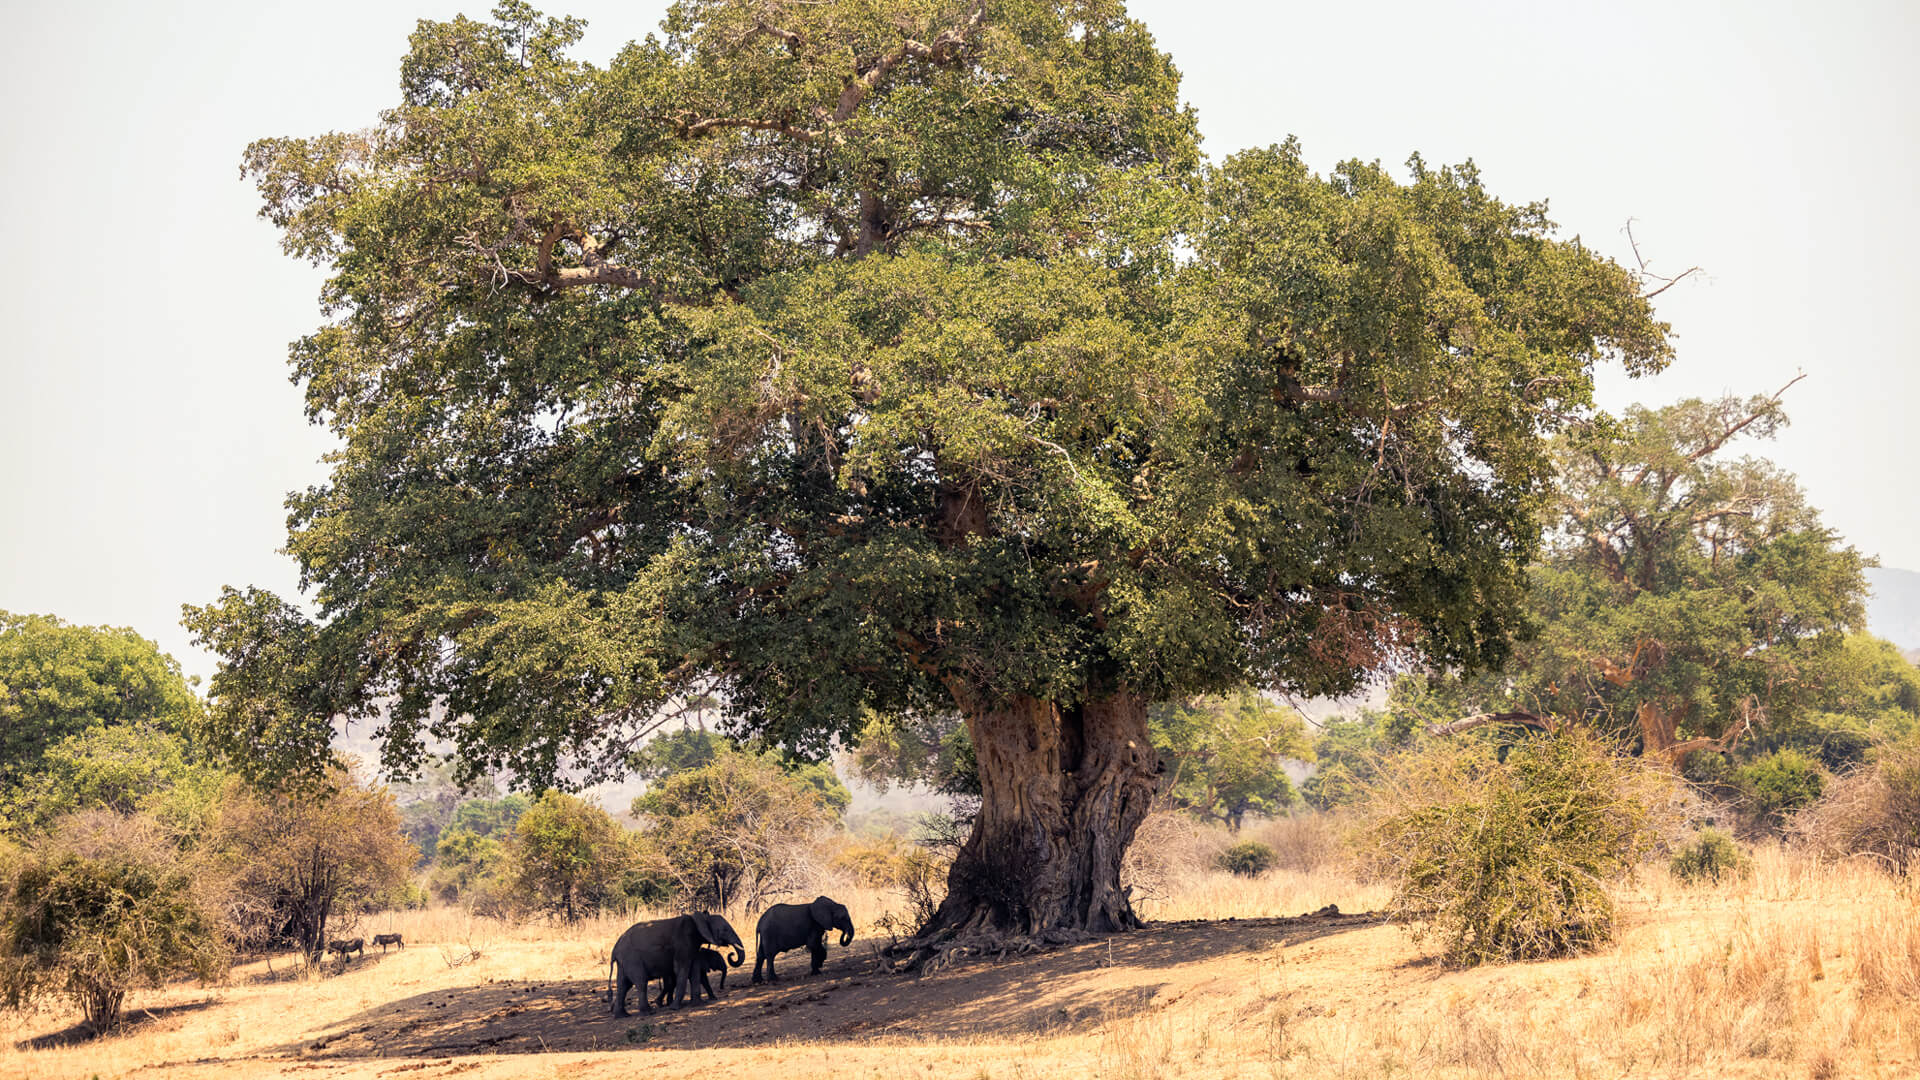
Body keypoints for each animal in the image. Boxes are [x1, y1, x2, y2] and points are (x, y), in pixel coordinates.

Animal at [607, 912, 745, 1016]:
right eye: (725, 930)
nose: (732, 954)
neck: (700, 919)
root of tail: (615, 949)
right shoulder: (683, 943)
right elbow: (681, 969)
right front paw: (675, 1008)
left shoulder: (693, 945)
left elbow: (694, 971)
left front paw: (698, 1004)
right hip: (632, 959)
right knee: (641, 982)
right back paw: (648, 1012)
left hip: (624, 962)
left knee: (623, 985)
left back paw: (622, 1016)